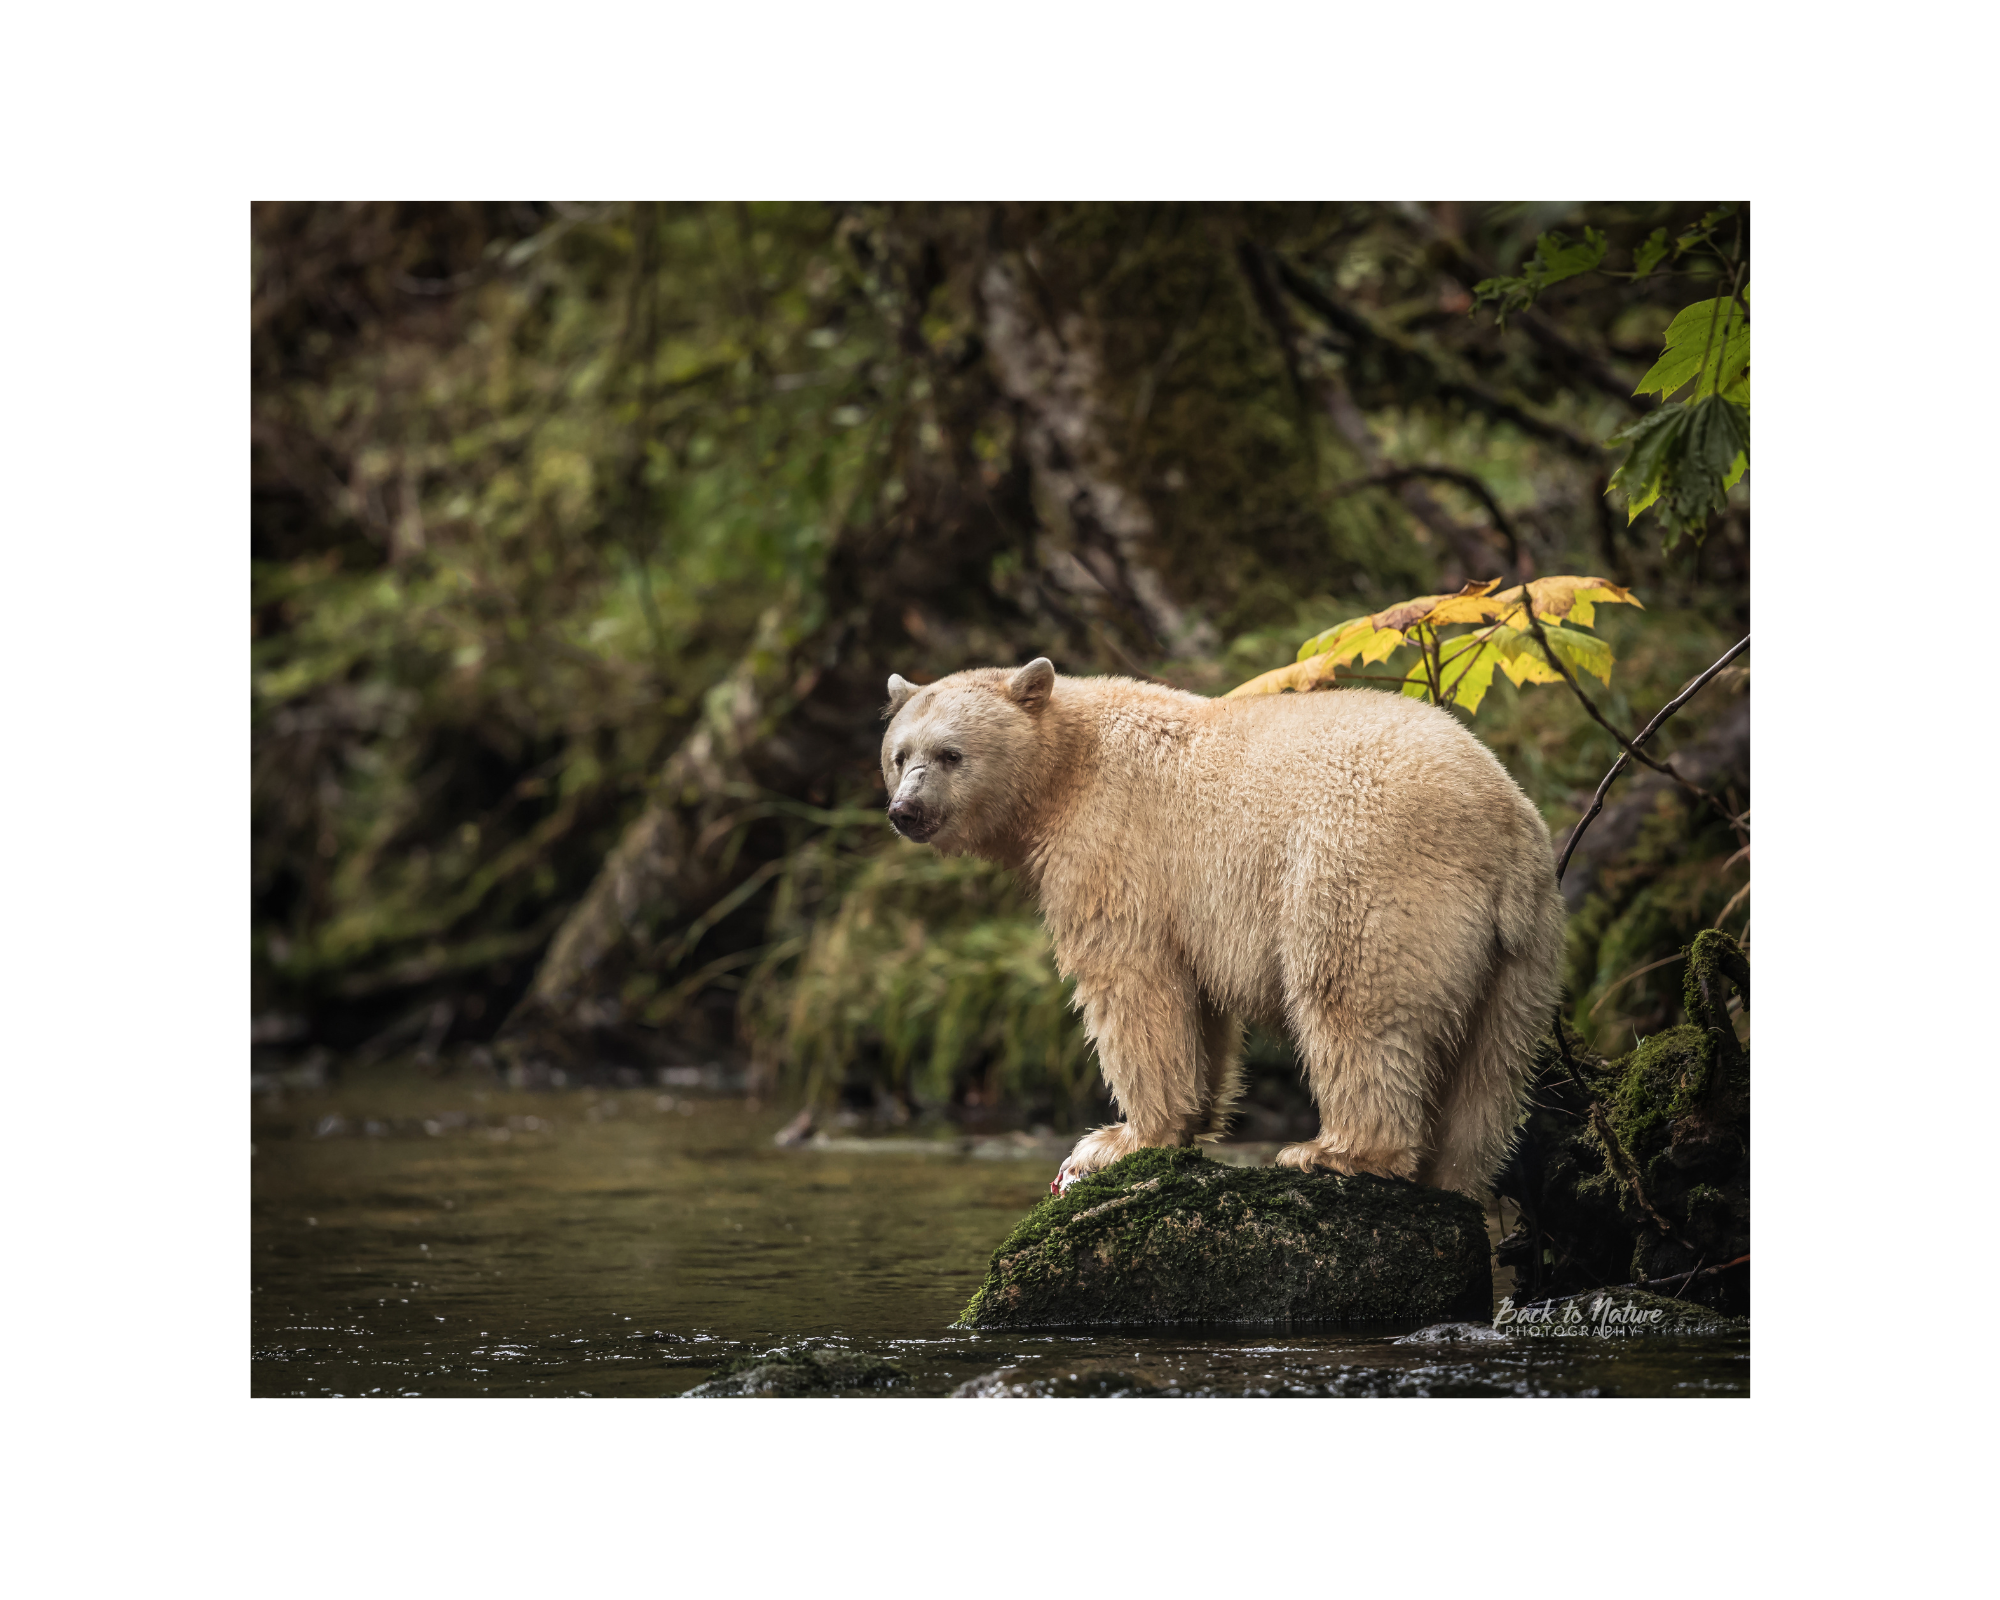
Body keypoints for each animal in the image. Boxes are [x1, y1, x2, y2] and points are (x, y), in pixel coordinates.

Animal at [888, 656, 1560, 1192]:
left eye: (950, 753)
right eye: (899, 756)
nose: (905, 811)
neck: (1063, 774)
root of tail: (1501, 825)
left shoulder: (1114, 845)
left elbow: (1131, 984)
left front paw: (1117, 1139)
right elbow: (1197, 1008)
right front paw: (1184, 1121)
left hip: (1364, 870)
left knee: (1351, 1000)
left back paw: (1336, 1151)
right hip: (1523, 949)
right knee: (1490, 1066)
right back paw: (1451, 1172)